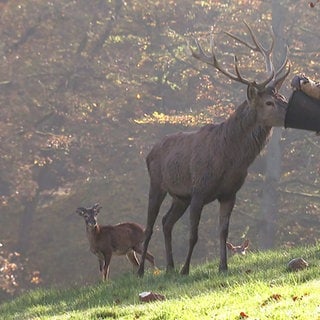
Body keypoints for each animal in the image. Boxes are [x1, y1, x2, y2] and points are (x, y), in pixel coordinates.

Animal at [138, 21, 290, 276]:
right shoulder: (198, 189)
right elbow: (194, 235)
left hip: (180, 196)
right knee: (149, 226)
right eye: (269, 102)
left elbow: (223, 232)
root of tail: (149, 153)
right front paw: (186, 270)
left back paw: (169, 267)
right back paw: (142, 271)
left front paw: (223, 266)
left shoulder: (229, 193)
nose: (291, 110)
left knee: (166, 222)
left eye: (282, 96)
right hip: (157, 183)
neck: (229, 158)